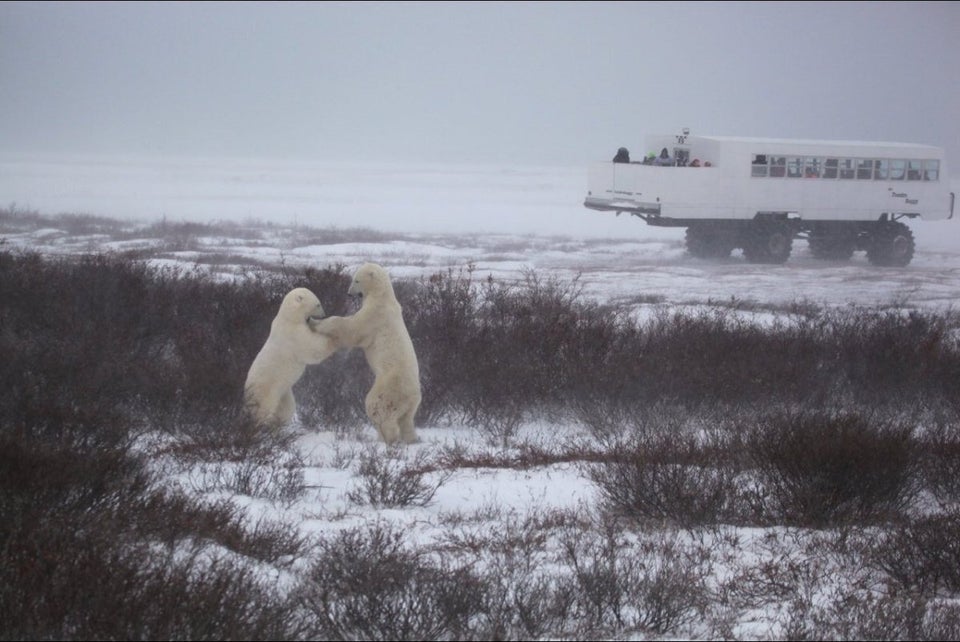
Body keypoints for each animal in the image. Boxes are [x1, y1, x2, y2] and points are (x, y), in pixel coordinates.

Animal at [242, 286, 336, 428]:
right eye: (318, 304)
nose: (324, 315)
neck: (289, 317)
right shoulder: (293, 334)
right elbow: (312, 349)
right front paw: (334, 339)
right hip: (265, 391)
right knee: (262, 411)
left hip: (284, 392)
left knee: (286, 409)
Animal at [312, 262, 420, 442]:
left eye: (356, 280)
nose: (349, 294)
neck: (383, 296)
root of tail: (412, 394)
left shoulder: (375, 315)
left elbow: (351, 328)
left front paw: (315, 322)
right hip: (411, 402)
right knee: (407, 419)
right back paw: (409, 439)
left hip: (390, 385)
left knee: (378, 407)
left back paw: (388, 437)